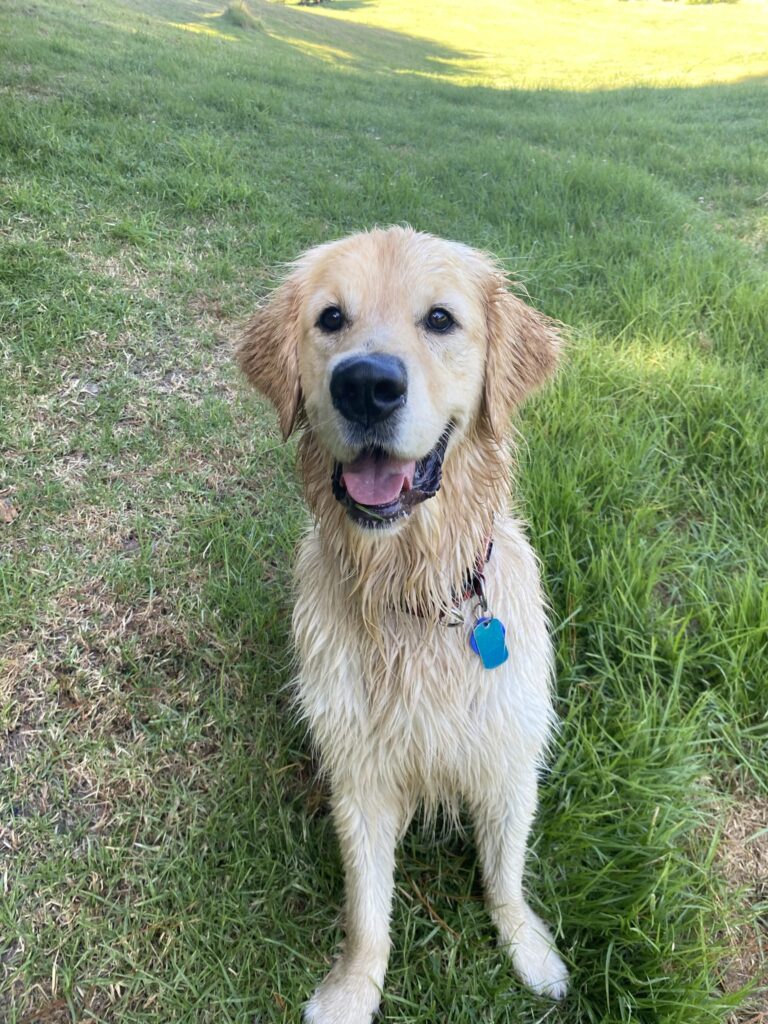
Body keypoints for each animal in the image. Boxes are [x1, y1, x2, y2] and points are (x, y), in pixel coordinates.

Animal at [240, 228, 573, 1019]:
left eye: (441, 320)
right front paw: (353, 988)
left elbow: (506, 872)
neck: (414, 592)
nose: (366, 384)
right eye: (331, 318)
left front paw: (530, 949)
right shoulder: (359, 771)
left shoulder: (510, 754)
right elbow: (368, 907)